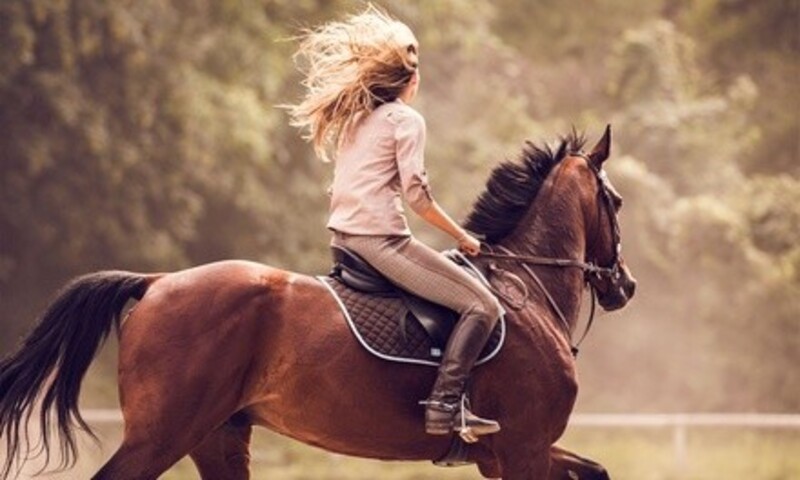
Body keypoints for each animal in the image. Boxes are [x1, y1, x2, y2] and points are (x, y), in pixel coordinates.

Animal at [0, 126, 636, 479]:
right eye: (617, 202)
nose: (624, 286)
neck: (524, 286)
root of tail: (157, 282)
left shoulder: (509, 454)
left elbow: (599, 471)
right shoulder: (523, 449)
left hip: (217, 437)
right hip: (163, 435)